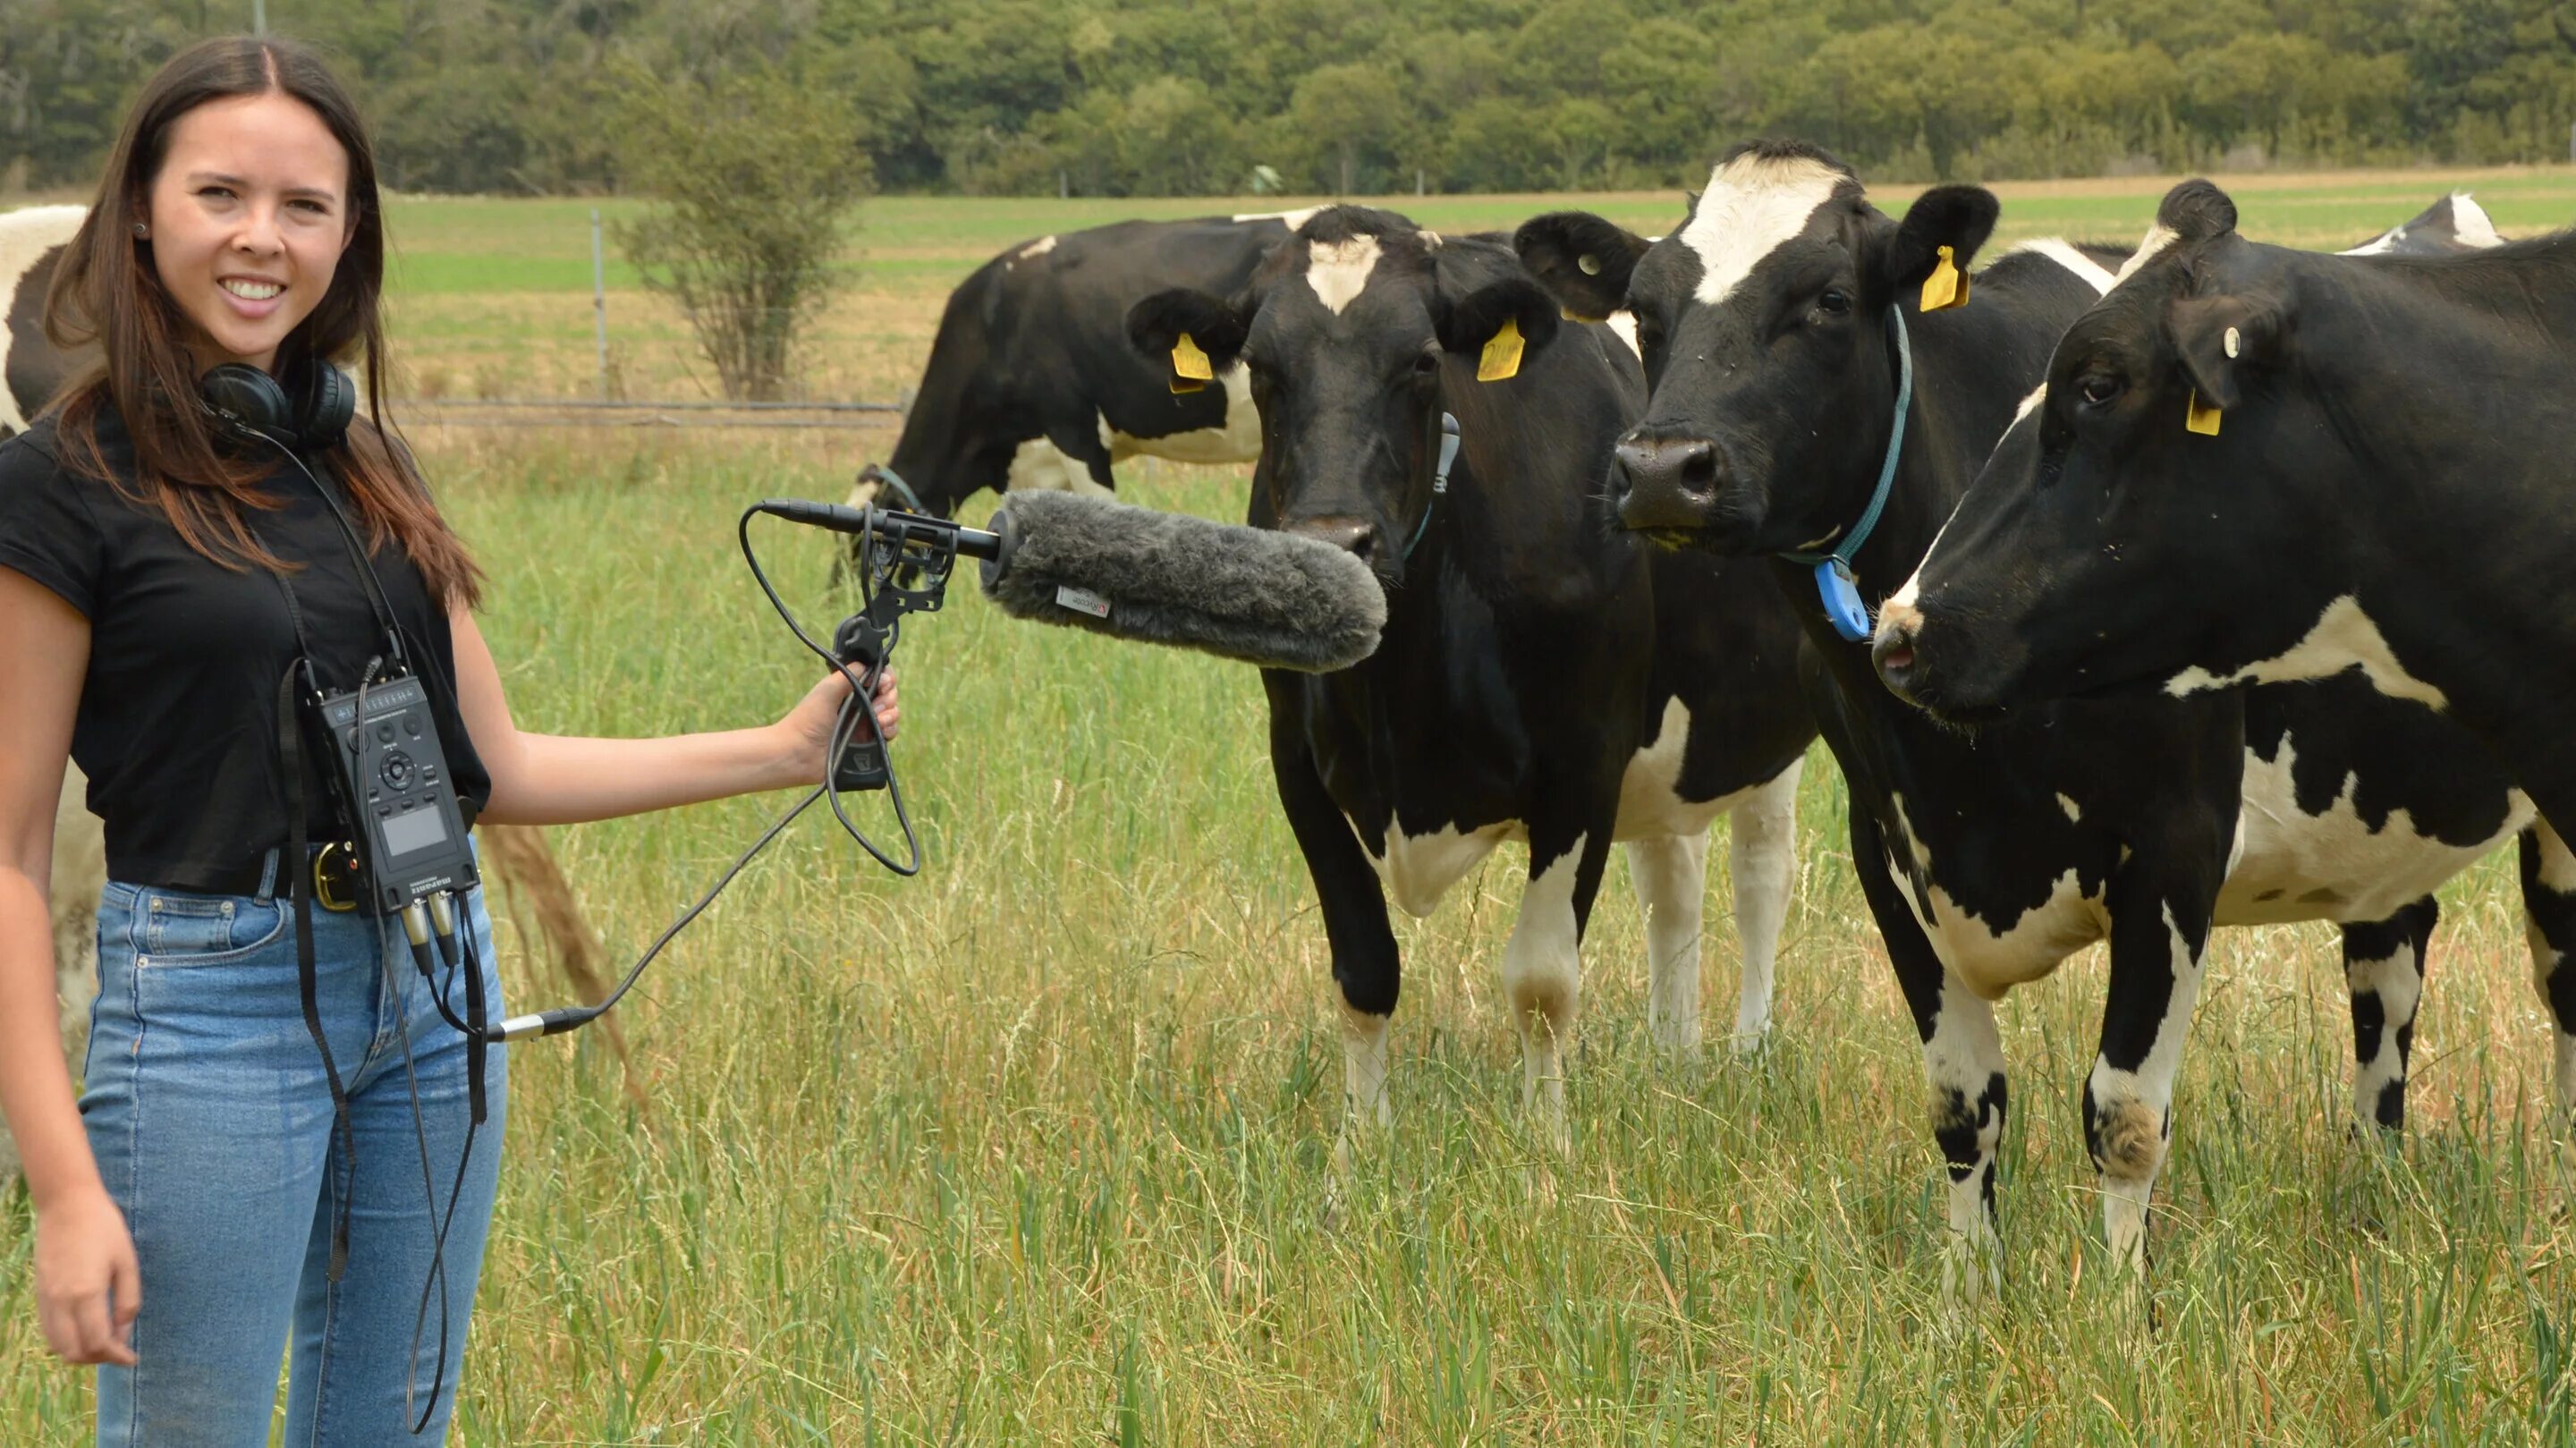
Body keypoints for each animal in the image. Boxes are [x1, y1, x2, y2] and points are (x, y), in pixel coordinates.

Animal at [1128, 206, 1813, 1148]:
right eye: (1261, 368)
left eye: (1423, 361)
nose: (1334, 542)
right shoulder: (1296, 761)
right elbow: (1364, 969)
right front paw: (1360, 1150)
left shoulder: (1584, 757)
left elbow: (1542, 981)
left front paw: (1546, 1149)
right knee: (1674, 883)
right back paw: (1675, 1059)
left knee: (1760, 879)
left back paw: (1749, 1051)